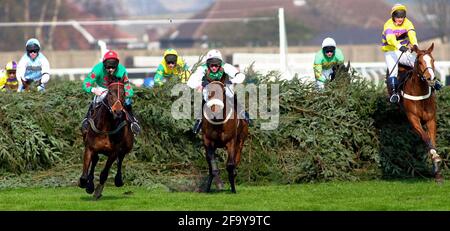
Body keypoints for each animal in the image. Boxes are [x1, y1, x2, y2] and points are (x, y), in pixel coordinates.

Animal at [396, 42, 442, 182]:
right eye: (420, 62)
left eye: (433, 60)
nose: (430, 77)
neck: (420, 93)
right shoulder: (413, 119)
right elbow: (426, 137)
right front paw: (435, 156)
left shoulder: (431, 119)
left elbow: (432, 140)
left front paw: (437, 172)